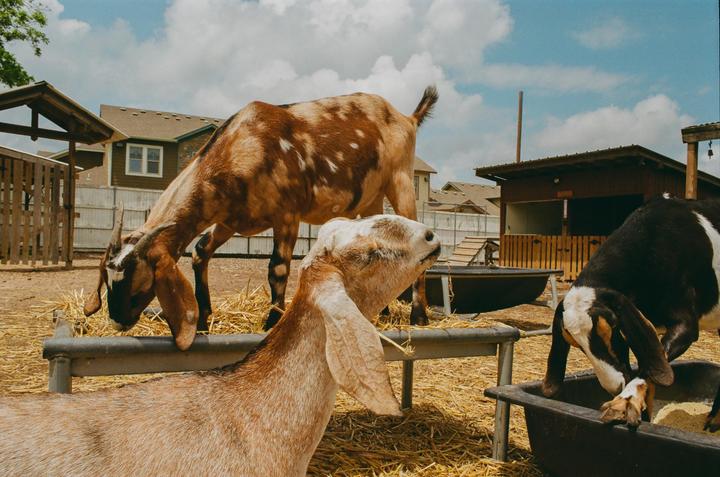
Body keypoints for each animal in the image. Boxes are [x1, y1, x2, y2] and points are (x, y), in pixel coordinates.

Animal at [84, 87, 439, 350]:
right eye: (108, 277)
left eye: (141, 280)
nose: (116, 320)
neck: (241, 147)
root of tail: (407, 117)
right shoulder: (229, 221)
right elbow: (200, 251)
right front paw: (204, 318)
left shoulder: (287, 215)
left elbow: (277, 269)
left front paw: (271, 321)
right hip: (370, 198)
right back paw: (383, 311)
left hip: (401, 180)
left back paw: (418, 315)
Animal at [543, 196, 720, 431]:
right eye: (575, 344)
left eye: (611, 329)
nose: (614, 386)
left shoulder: (685, 325)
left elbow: (649, 367)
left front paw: (624, 401)